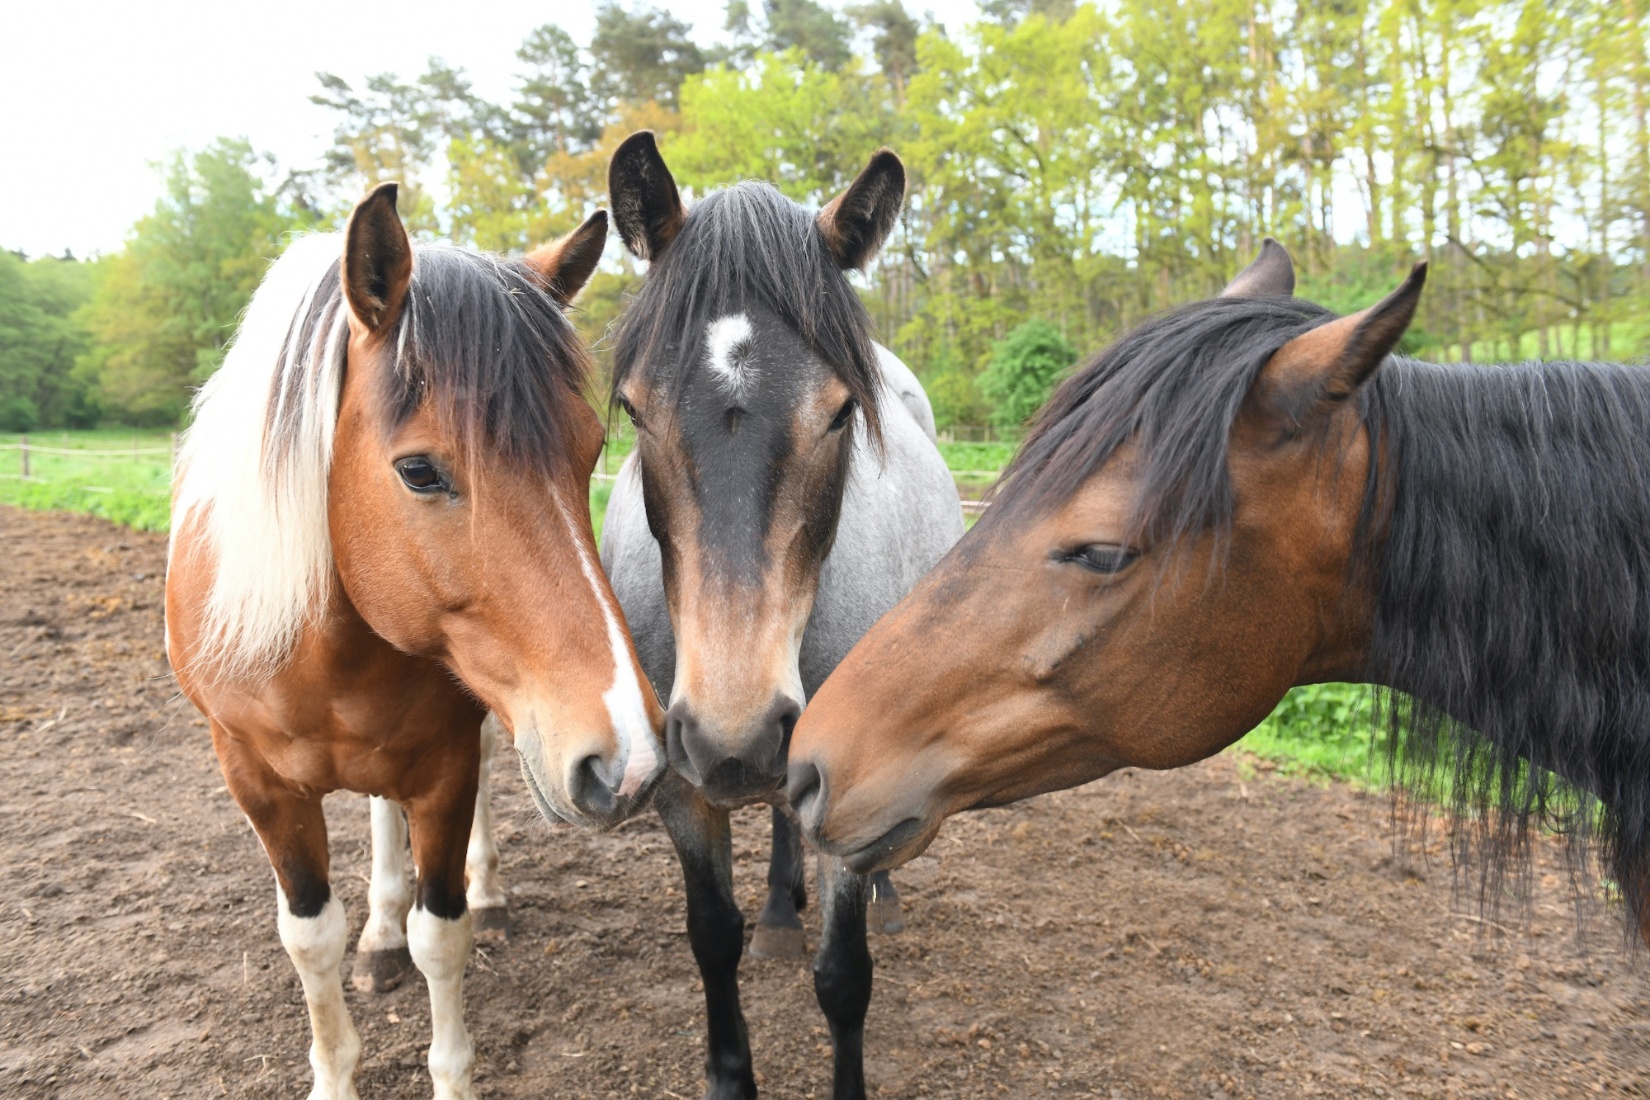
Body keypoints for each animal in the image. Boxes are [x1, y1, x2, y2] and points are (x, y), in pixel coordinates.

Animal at [164, 187, 660, 1100]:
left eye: (589, 454)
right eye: (421, 471)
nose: (632, 760)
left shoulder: (445, 764)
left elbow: (445, 934)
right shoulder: (255, 781)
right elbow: (309, 937)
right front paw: (336, 1065)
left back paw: (480, 898)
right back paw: (380, 934)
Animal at [600, 133, 963, 1095]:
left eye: (839, 414)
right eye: (633, 410)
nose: (737, 734)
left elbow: (843, 977)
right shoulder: (684, 789)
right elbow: (710, 937)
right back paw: (776, 906)